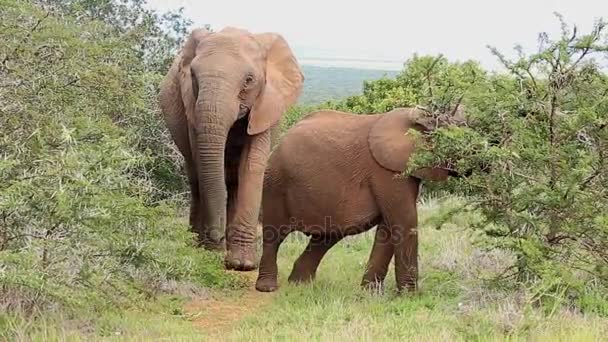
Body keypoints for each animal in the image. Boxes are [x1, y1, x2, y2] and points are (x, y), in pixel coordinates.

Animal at [158, 26, 304, 272]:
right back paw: (195, 243)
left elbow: (252, 166)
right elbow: (202, 162)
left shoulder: (265, 105)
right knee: (196, 178)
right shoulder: (191, 105)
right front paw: (211, 252)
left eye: (249, 80)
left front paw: (242, 264)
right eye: (193, 76)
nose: (216, 244)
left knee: (233, 182)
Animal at [253, 106, 460, 292]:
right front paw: (409, 296)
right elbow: (403, 221)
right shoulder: (386, 170)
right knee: (274, 235)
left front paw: (369, 294)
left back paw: (299, 285)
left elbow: (388, 227)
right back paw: (268, 288)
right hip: (275, 183)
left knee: (327, 237)